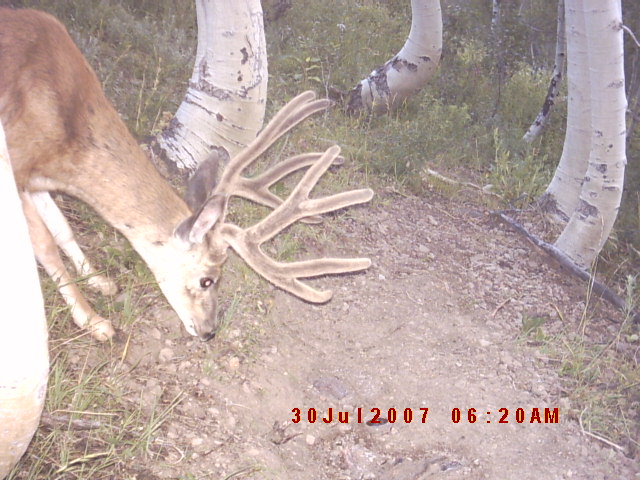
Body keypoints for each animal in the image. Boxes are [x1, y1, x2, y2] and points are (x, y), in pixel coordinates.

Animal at [0, 9, 372, 344]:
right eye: (208, 280)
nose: (209, 331)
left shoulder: (37, 178)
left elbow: (62, 229)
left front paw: (101, 282)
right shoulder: (16, 165)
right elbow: (45, 246)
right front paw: (95, 322)